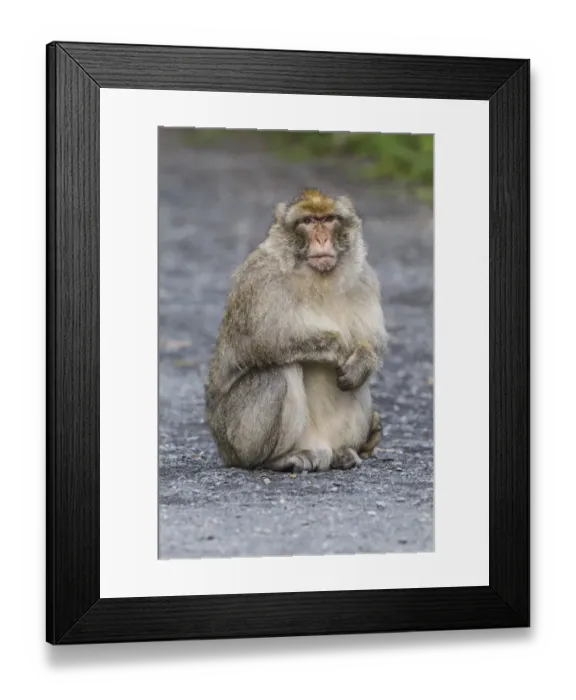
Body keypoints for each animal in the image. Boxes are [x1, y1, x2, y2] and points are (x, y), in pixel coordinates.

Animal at [204, 188, 388, 472]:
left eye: (329, 219)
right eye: (308, 222)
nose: (322, 239)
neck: (318, 278)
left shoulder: (365, 279)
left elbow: (372, 341)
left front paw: (363, 359)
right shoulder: (261, 279)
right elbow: (266, 340)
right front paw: (338, 347)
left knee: (359, 386)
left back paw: (343, 454)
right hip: (237, 440)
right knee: (278, 373)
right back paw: (278, 460)